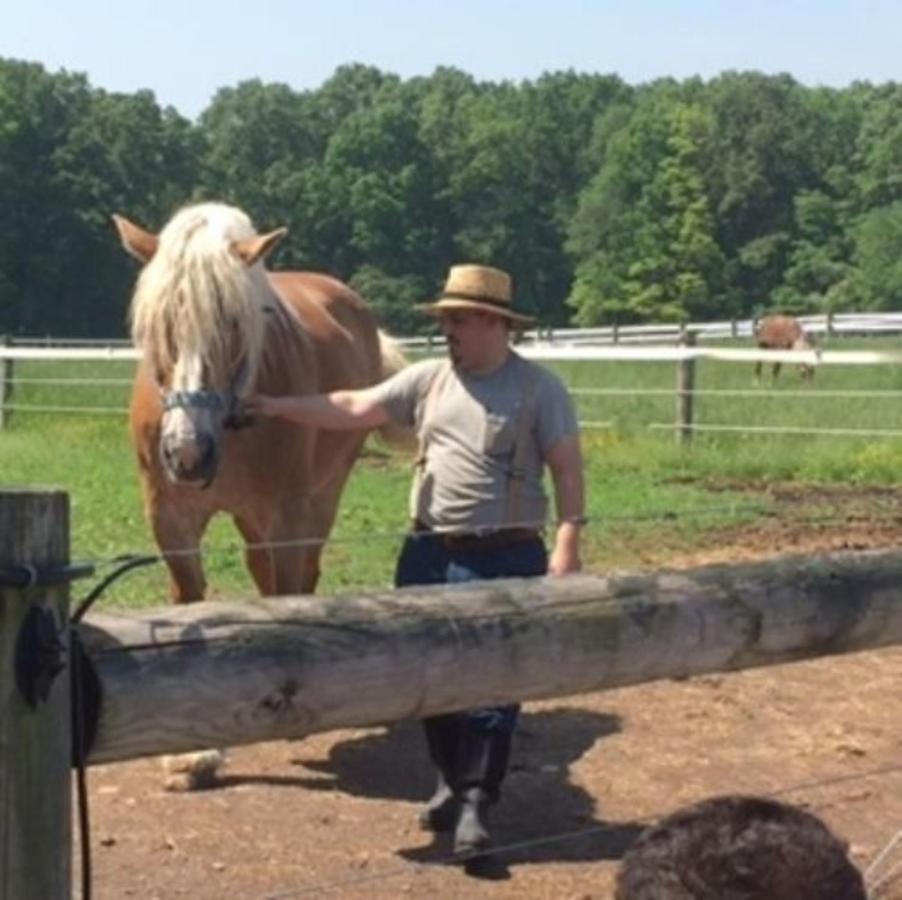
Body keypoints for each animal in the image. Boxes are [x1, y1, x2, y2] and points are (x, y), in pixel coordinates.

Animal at [114, 202, 406, 788]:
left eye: (231, 322)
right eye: (158, 325)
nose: (186, 453)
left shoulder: (287, 513)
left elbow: (287, 592)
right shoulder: (170, 517)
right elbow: (191, 601)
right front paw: (194, 754)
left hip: (323, 491)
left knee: (302, 571)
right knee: (261, 568)